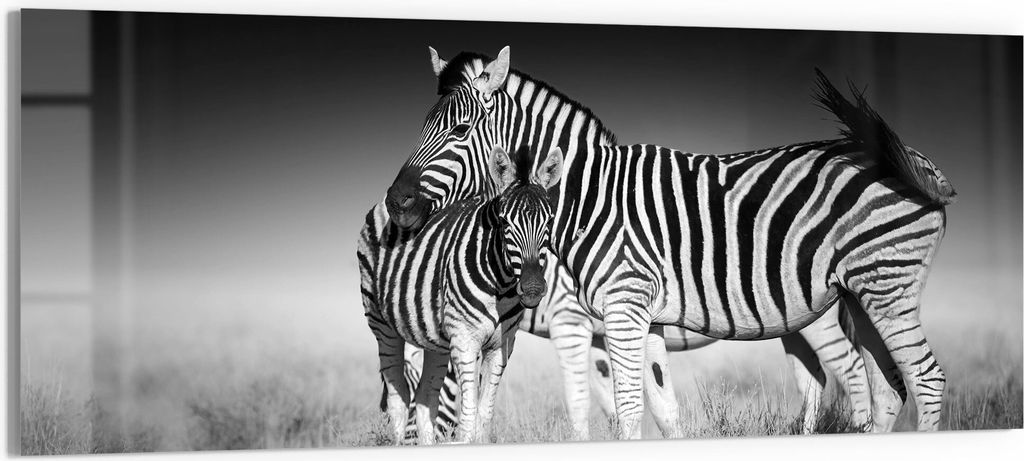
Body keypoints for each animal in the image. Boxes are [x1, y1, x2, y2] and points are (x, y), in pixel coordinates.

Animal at [361, 145, 564, 444]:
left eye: (549, 221)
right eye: (504, 223)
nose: (533, 288)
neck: (501, 285)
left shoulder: (502, 345)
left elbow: (484, 417)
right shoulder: (465, 341)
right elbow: (467, 419)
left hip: (436, 339)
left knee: (425, 398)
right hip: (381, 324)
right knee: (398, 398)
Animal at [380, 47, 955, 439]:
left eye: (458, 131)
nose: (396, 202)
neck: (586, 199)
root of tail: (913, 159)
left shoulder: (599, 315)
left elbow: (611, 410)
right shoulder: (638, 317)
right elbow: (658, 407)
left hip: (882, 287)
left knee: (916, 380)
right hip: (857, 295)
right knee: (880, 386)